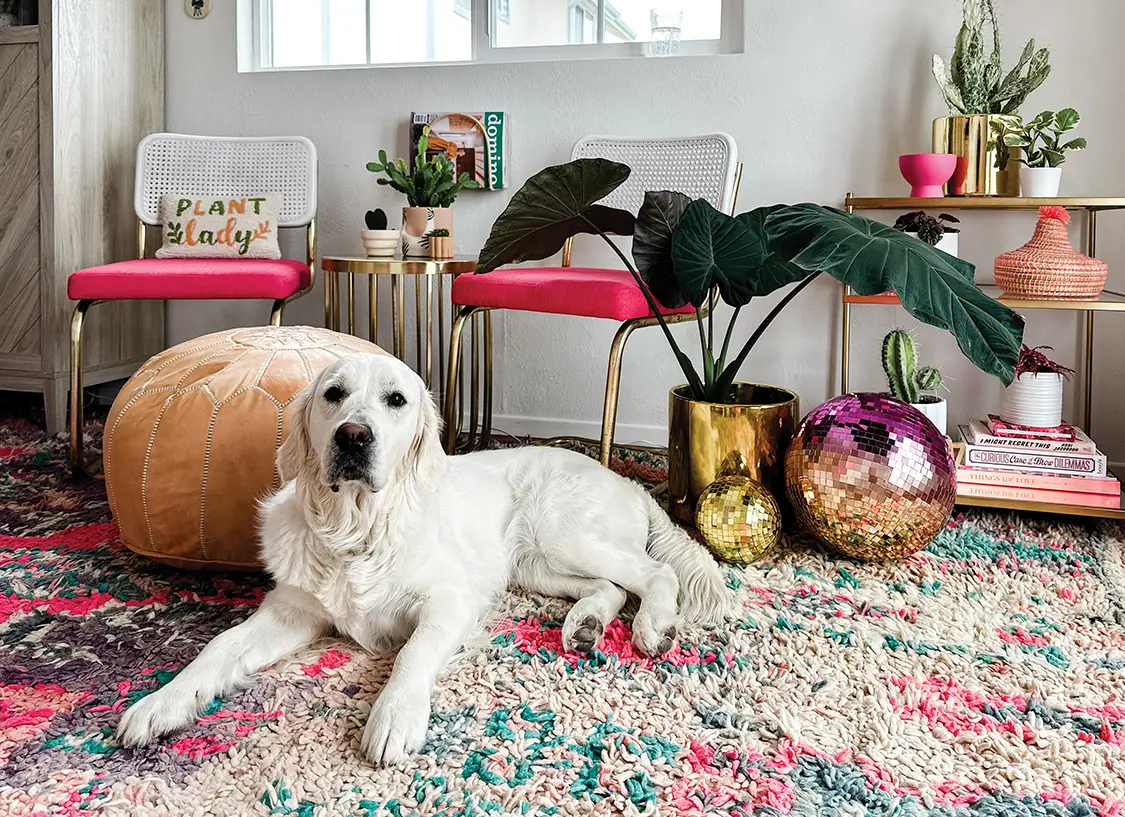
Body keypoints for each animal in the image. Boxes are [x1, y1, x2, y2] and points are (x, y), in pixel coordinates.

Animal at [116, 355, 729, 765]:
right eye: (333, 393)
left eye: (396, 400)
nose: (353, 436)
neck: (356, 530)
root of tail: (629, 481)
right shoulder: (292, 611)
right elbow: (219, 647)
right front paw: (162, 702)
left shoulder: (449, 602)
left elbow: (412, 653)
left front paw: (393, 718)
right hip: (534, 563)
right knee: (610, 586)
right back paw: (585, 626)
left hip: (561, 529)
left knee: (655, 573)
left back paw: (653, 626)